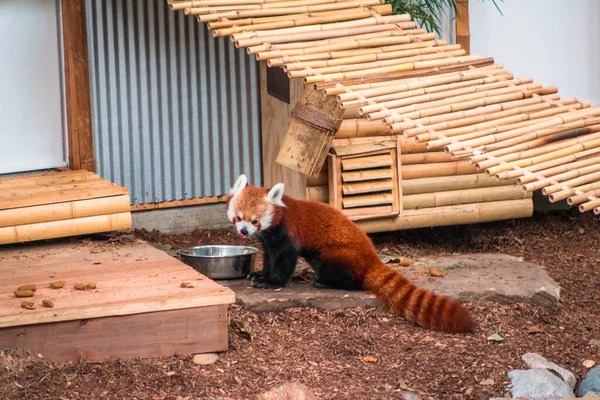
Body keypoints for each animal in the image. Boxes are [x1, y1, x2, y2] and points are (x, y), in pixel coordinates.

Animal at [225, 175, 474, 334]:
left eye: (254, 221)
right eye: (239, 217)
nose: (243, 231)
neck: (279, 217)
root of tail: (371, 257)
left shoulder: (287, 234)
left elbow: (285, 259)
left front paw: (271, 282)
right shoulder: (268, 241)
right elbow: (269, 257)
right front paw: (259, 275)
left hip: (334, 255)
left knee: (346, 276)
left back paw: (325, 282)